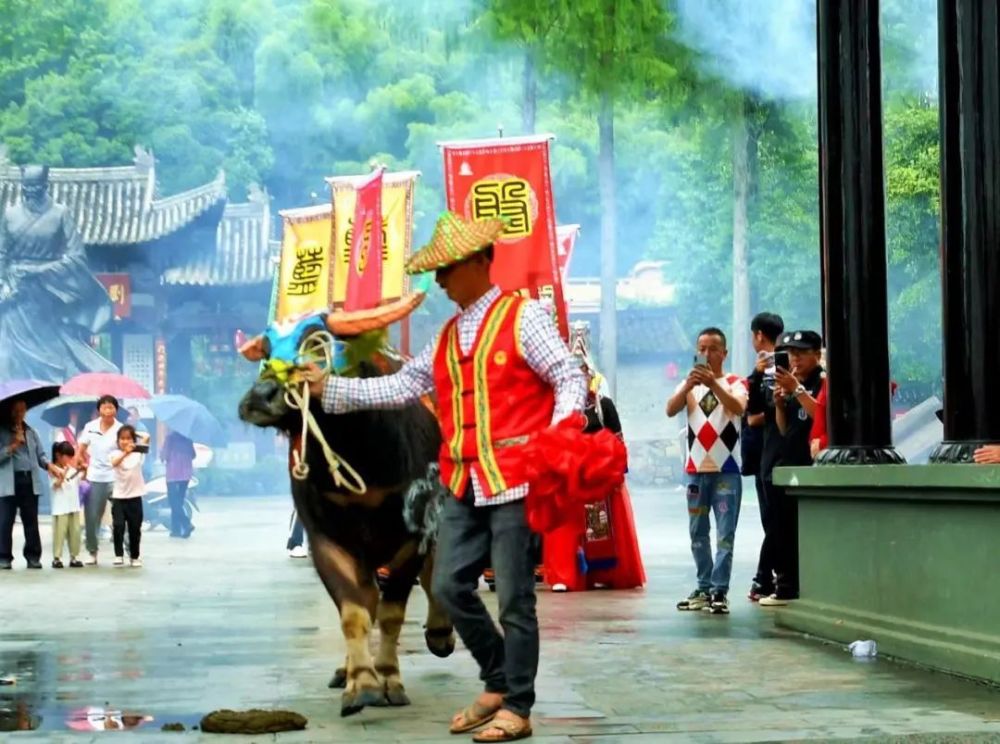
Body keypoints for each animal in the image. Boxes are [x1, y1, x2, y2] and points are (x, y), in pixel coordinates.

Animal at [236, 318, 456, 716]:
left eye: (318, 346)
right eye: (267, 350)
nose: (261, 397)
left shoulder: (414, 536)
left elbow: (392, 612)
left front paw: (390, 679)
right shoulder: (326, 540)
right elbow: (355, 612)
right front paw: (363, 684)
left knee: (433, 574)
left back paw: (439, 634)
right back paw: (347, 669)